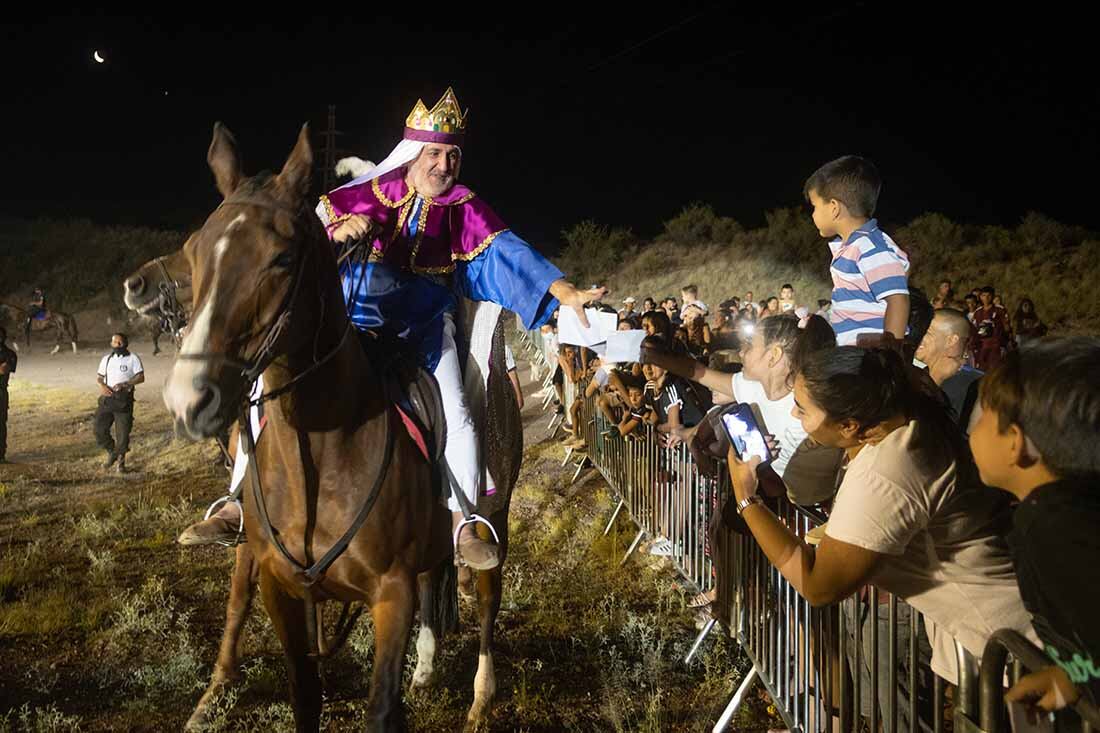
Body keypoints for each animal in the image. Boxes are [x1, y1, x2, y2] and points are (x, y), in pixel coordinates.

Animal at [163, 122, 523, 726]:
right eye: (194, 250)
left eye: (282, 258)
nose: (190, 397)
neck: (324, 451)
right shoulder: (283, 592)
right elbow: (303, 694)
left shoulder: (390, 596)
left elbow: (380, 708)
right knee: (437, 579)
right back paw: (428, 666)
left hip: (496, 513)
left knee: (487, 602)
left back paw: (479, 700)